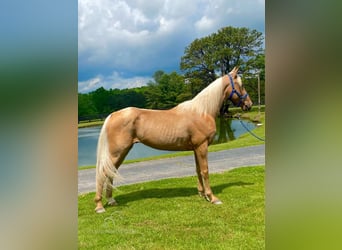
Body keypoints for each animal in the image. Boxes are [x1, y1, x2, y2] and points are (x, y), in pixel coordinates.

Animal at [93, 66, 251, 213]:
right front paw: (212, 197)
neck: (202, 111)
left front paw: (201, 194)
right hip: (118, 152)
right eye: (242, 85)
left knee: (110, 172)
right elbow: (205, 170)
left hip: (121, 153)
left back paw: (111, 200)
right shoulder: (202, 146)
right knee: (102, 173)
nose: (249, 105)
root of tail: (113, 115)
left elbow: (198, 169)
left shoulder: (196, 148)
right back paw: (100, 206)